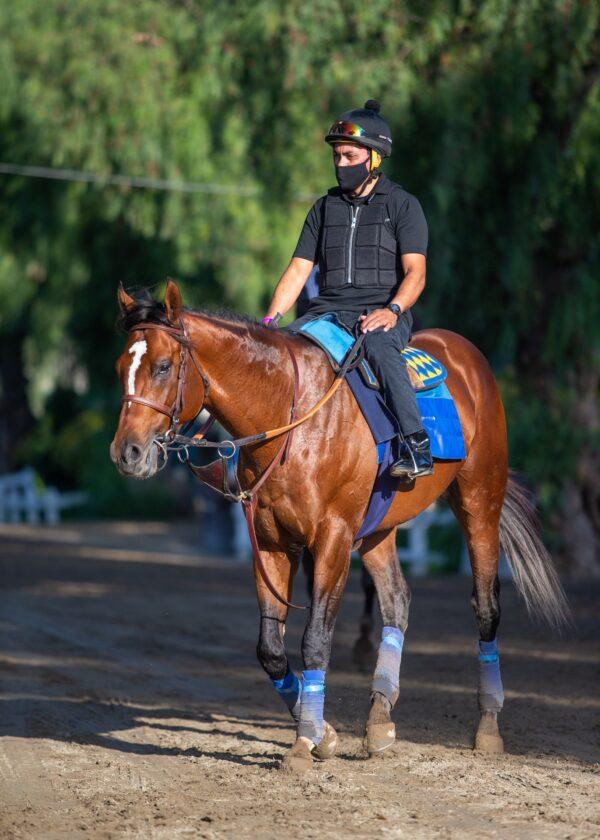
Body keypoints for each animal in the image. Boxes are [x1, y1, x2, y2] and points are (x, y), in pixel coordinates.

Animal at [110, 279, 568, 774]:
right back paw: (380, 719)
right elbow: (271, 650)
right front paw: (324, 733)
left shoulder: (332, 537)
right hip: (378, 529)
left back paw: (487, 725)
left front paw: (305, 740)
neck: (289, 413)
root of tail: (465, 354)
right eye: (120, 368)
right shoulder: (270, 543)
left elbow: (315, 640)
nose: (127, 453)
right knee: (397, 601)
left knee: (485, 607)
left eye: (162, 366)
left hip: (479, 503)